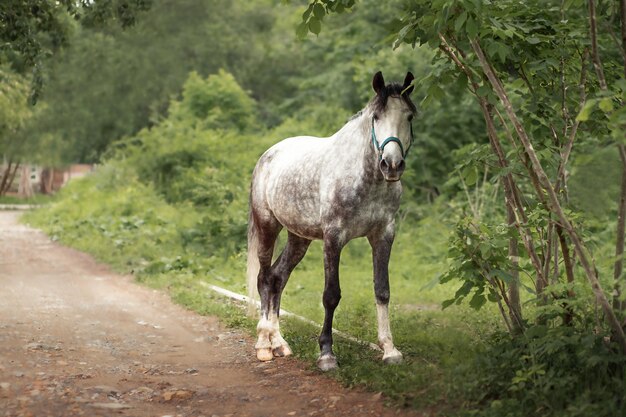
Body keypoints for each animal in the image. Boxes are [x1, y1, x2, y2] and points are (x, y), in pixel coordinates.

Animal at [244, 71, 414, 370]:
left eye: (409, 116)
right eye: (376, 117)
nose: (392, 165)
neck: (365, 178)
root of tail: (268, 156)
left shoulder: (384, 235)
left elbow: (382, 290)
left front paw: (390, 350)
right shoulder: (334, 238)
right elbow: (331, 295)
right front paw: (326, 354)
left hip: (298, 238)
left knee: (277, 277)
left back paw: (280, 344)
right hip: (267, 226)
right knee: (263, 278)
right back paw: (264, 345)